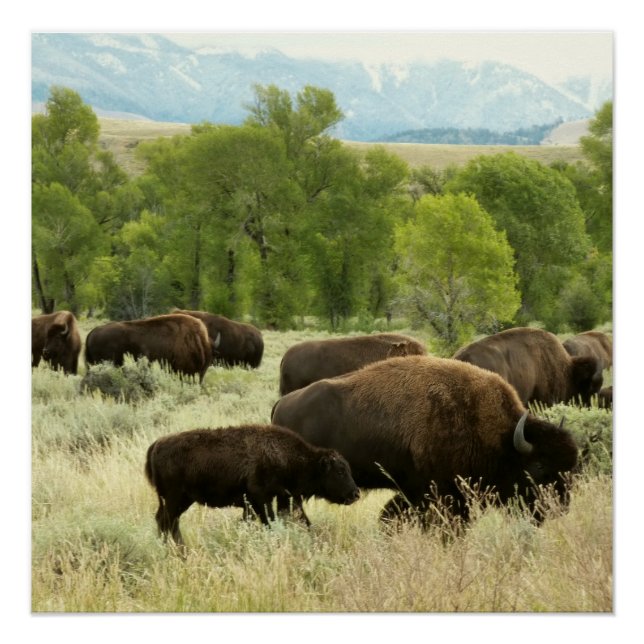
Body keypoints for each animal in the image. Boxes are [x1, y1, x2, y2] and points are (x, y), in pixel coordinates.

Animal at [144, 424, 360, 544]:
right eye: (340, 471)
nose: (355, 493)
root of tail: (157, 445)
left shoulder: (275, 500)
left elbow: (303, 521)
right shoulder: (261, 499)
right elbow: (269, 522)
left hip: (181, 500)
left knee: (167, 521)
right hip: (174, 498)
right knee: (167, 521)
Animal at [271, 355, 578, 525]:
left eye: (571, 467)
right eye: (538, 467)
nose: (560, 508)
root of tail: (281, 405)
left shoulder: (416, 490)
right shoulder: (440, 492)